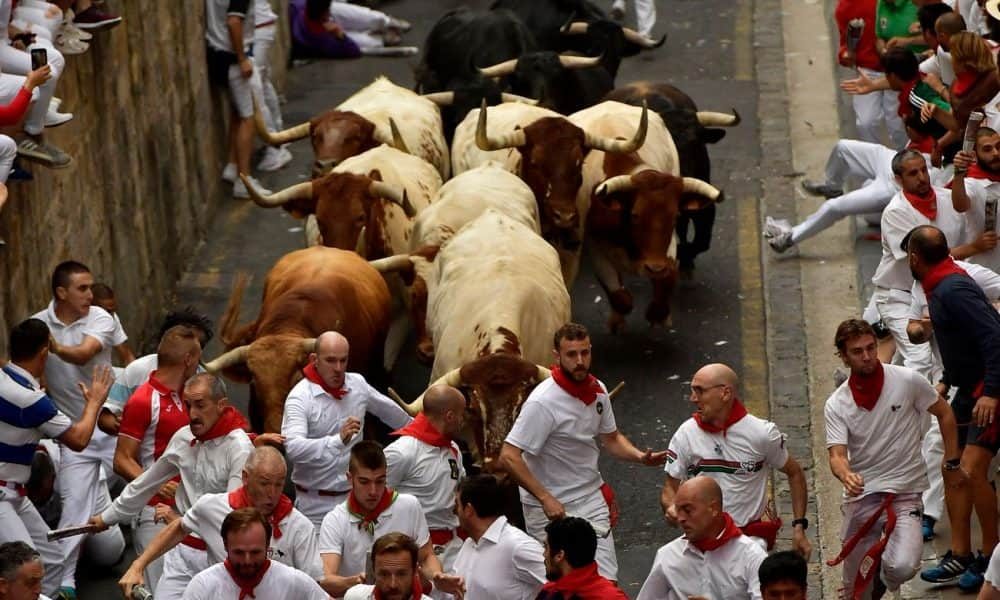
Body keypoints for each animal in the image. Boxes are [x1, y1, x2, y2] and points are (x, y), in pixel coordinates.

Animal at [568, 101, 724, 330]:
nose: (655, 267)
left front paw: (660, 315)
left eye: (675, 216)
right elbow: (621, 297)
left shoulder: (667, 247)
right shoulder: (594, 244)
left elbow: (667, 279)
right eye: (634, 215)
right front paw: (617, 320)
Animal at [600, 82, 744, 274]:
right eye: (665, 144)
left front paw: (684, 259)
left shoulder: (704, 206)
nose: (683, 177)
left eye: (696, 143)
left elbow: (701, 242)